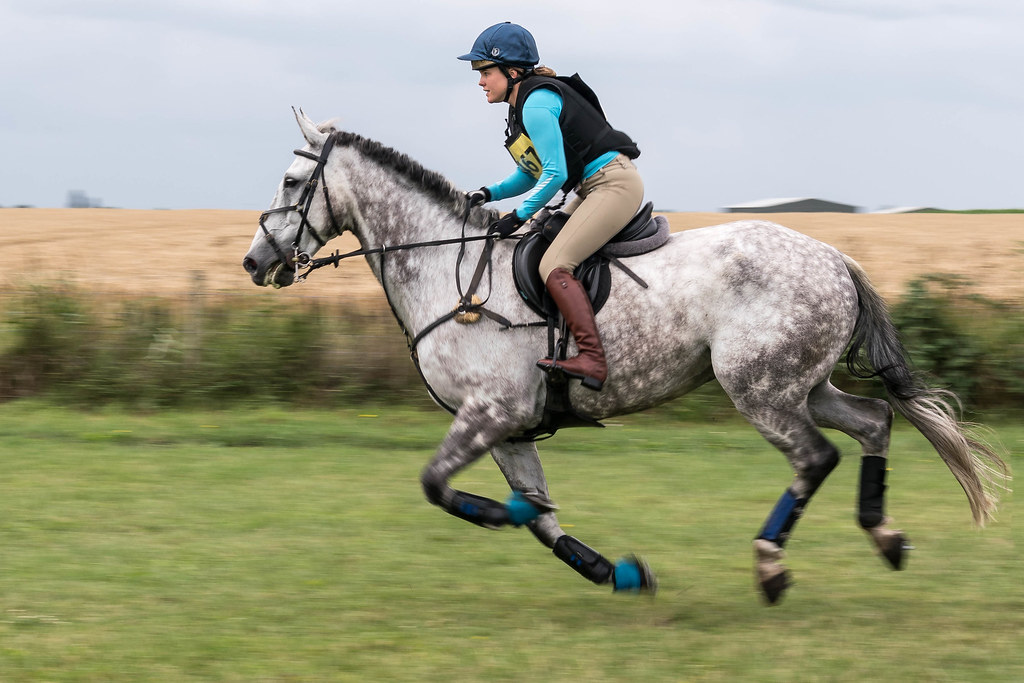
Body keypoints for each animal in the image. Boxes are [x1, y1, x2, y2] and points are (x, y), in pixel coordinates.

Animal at [243, 109, 1009, 604]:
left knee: (815, 457)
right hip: (802, 383)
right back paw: (885, 535)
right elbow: (543, 517)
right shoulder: (511, 428)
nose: (254, 262)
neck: (446, 268)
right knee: (875, 420)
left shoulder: (490, 412)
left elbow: (443, 487)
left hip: (758, 389)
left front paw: (507, 515)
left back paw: (771, 567)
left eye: (291, 183)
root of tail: (835, 256)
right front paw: (620, 573)